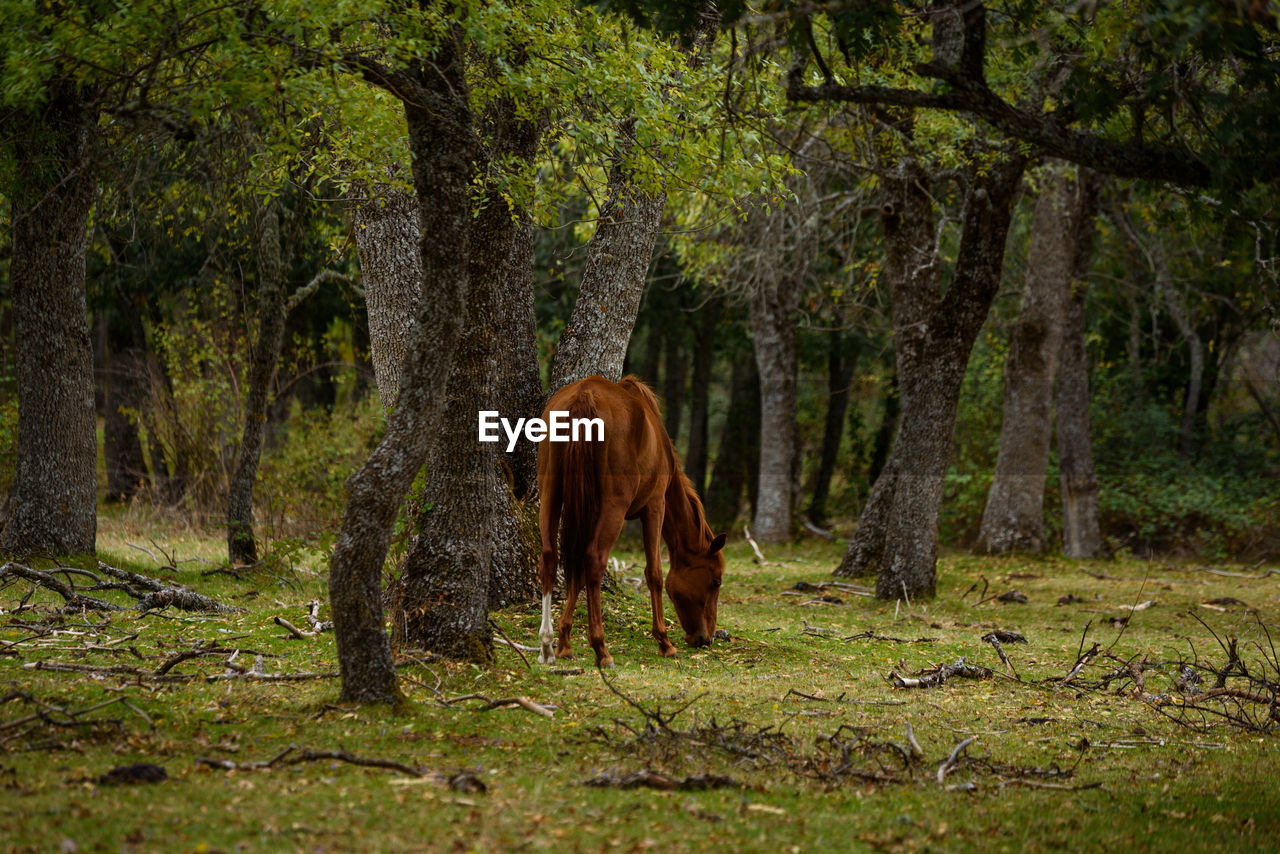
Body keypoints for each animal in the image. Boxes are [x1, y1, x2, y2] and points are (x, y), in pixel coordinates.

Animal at [535, 376, 727, 665]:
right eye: (715, 582)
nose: (707, 638)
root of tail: (585, 395)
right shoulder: (655, 506)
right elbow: (654, 573)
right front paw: (664, 641)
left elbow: (576, 574)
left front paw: (564, 642)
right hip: (615, 506)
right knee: (595, 560)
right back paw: (601, 648)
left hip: (550, 493)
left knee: (550, 558)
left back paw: (547, 645)